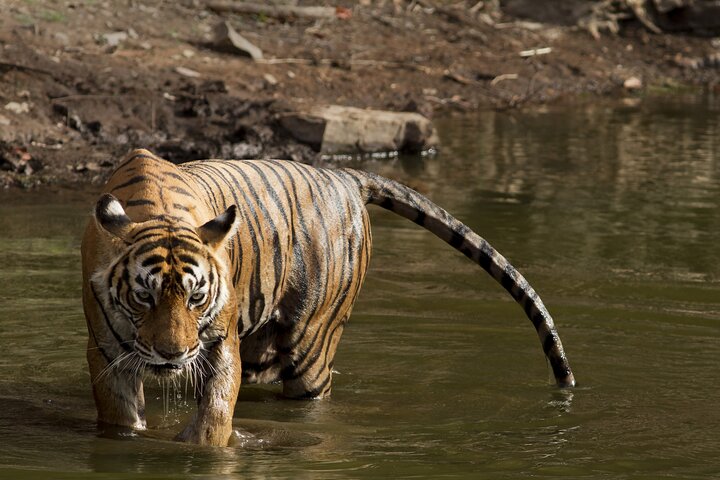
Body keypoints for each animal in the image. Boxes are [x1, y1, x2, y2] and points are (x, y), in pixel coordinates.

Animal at [81, 148, 575, 446]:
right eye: (144, 297)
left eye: (197, 298)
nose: (173, 354)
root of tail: (342, 174)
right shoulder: (106, 348)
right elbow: (120, 413)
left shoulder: (221, 341)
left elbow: (216, 410)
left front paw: (201, 448)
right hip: (265, 347)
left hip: (311, 345)